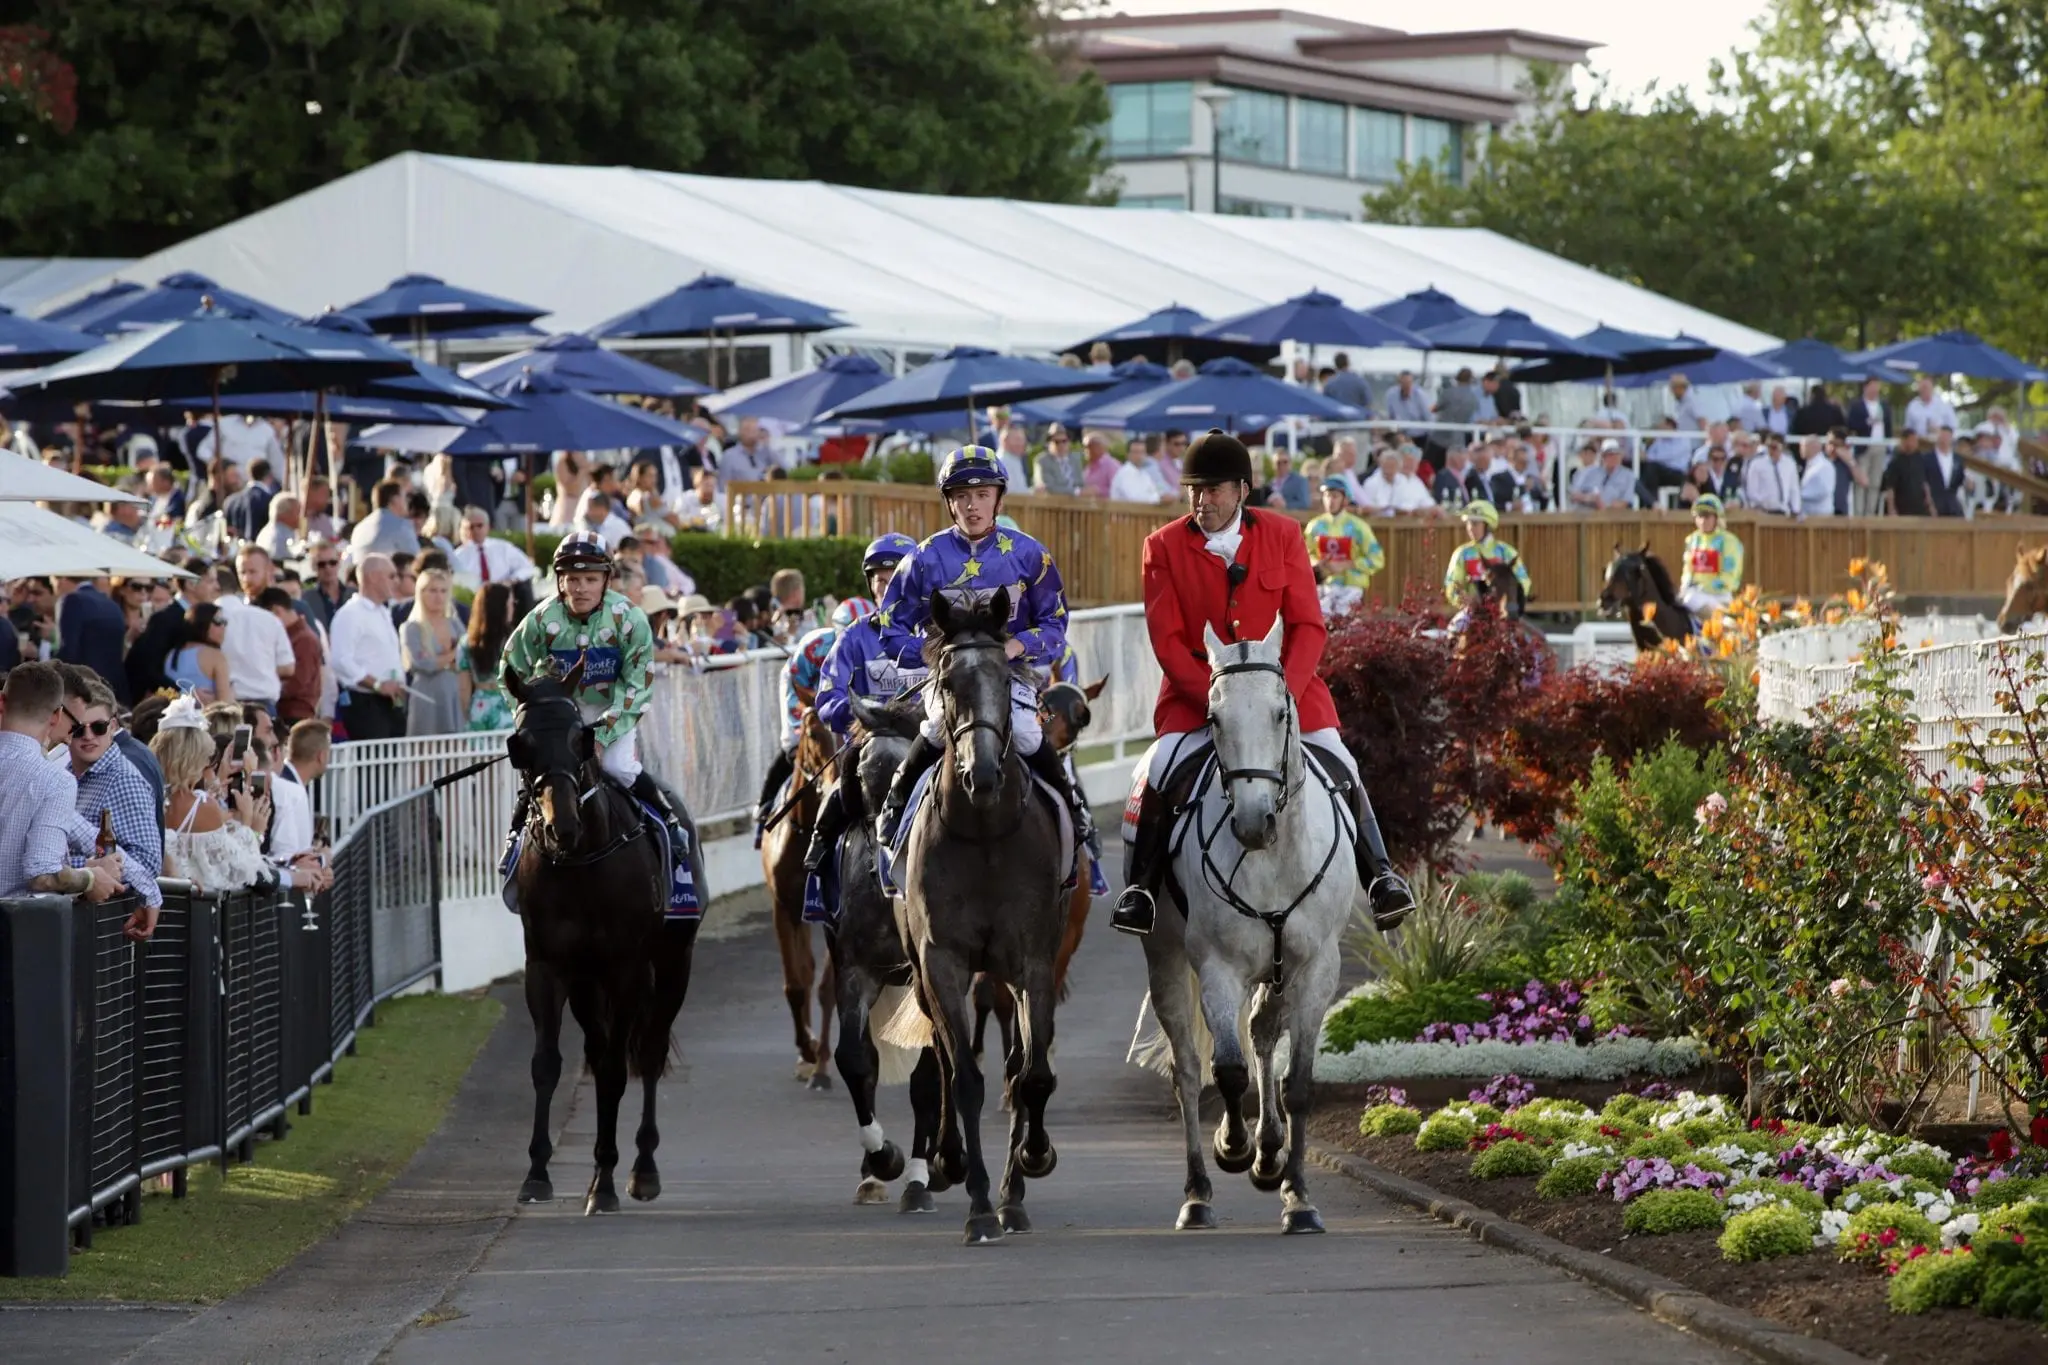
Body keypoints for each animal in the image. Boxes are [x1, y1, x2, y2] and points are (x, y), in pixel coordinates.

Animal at [507, 671, 700, 1219]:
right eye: (521, 743)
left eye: (581, 738)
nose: (562, 826)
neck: (581, 862)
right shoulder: (548, 966)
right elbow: (547, 1064)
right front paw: (536, 1173)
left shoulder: (627, 967)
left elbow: (617, 1069)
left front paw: (607, 1182)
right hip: (587, 984)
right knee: (596, 1048)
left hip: (673, 963)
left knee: (649, 1051)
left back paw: (642, 1169)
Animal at [905, 589, 1081, 1252]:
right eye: (948, 682)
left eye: (1006, 680)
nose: (981, 774)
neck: (982, 832)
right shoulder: (944, 962)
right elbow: (965, 1079)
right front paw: (978, 1203)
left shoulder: (1033, 960)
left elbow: (1030, 1077)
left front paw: (1027, 1168)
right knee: (944, 1058)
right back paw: (949, 1163)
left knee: (1016, 1067)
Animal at [1138, 618, 1359, 1236]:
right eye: (1214, 719)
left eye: (1281, 712)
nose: (1253, 822)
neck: (1273, 855)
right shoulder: (1217, 968)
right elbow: (1228, 1071)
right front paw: (1233, 1148)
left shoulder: (1316, 968)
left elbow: (1298, 1083)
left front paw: (1298, 1195)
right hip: (1166, 962)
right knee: (1190, 1070)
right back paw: (1199, 1191)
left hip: (1279, 969)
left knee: (1262, 1035)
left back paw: (1269, 1152)